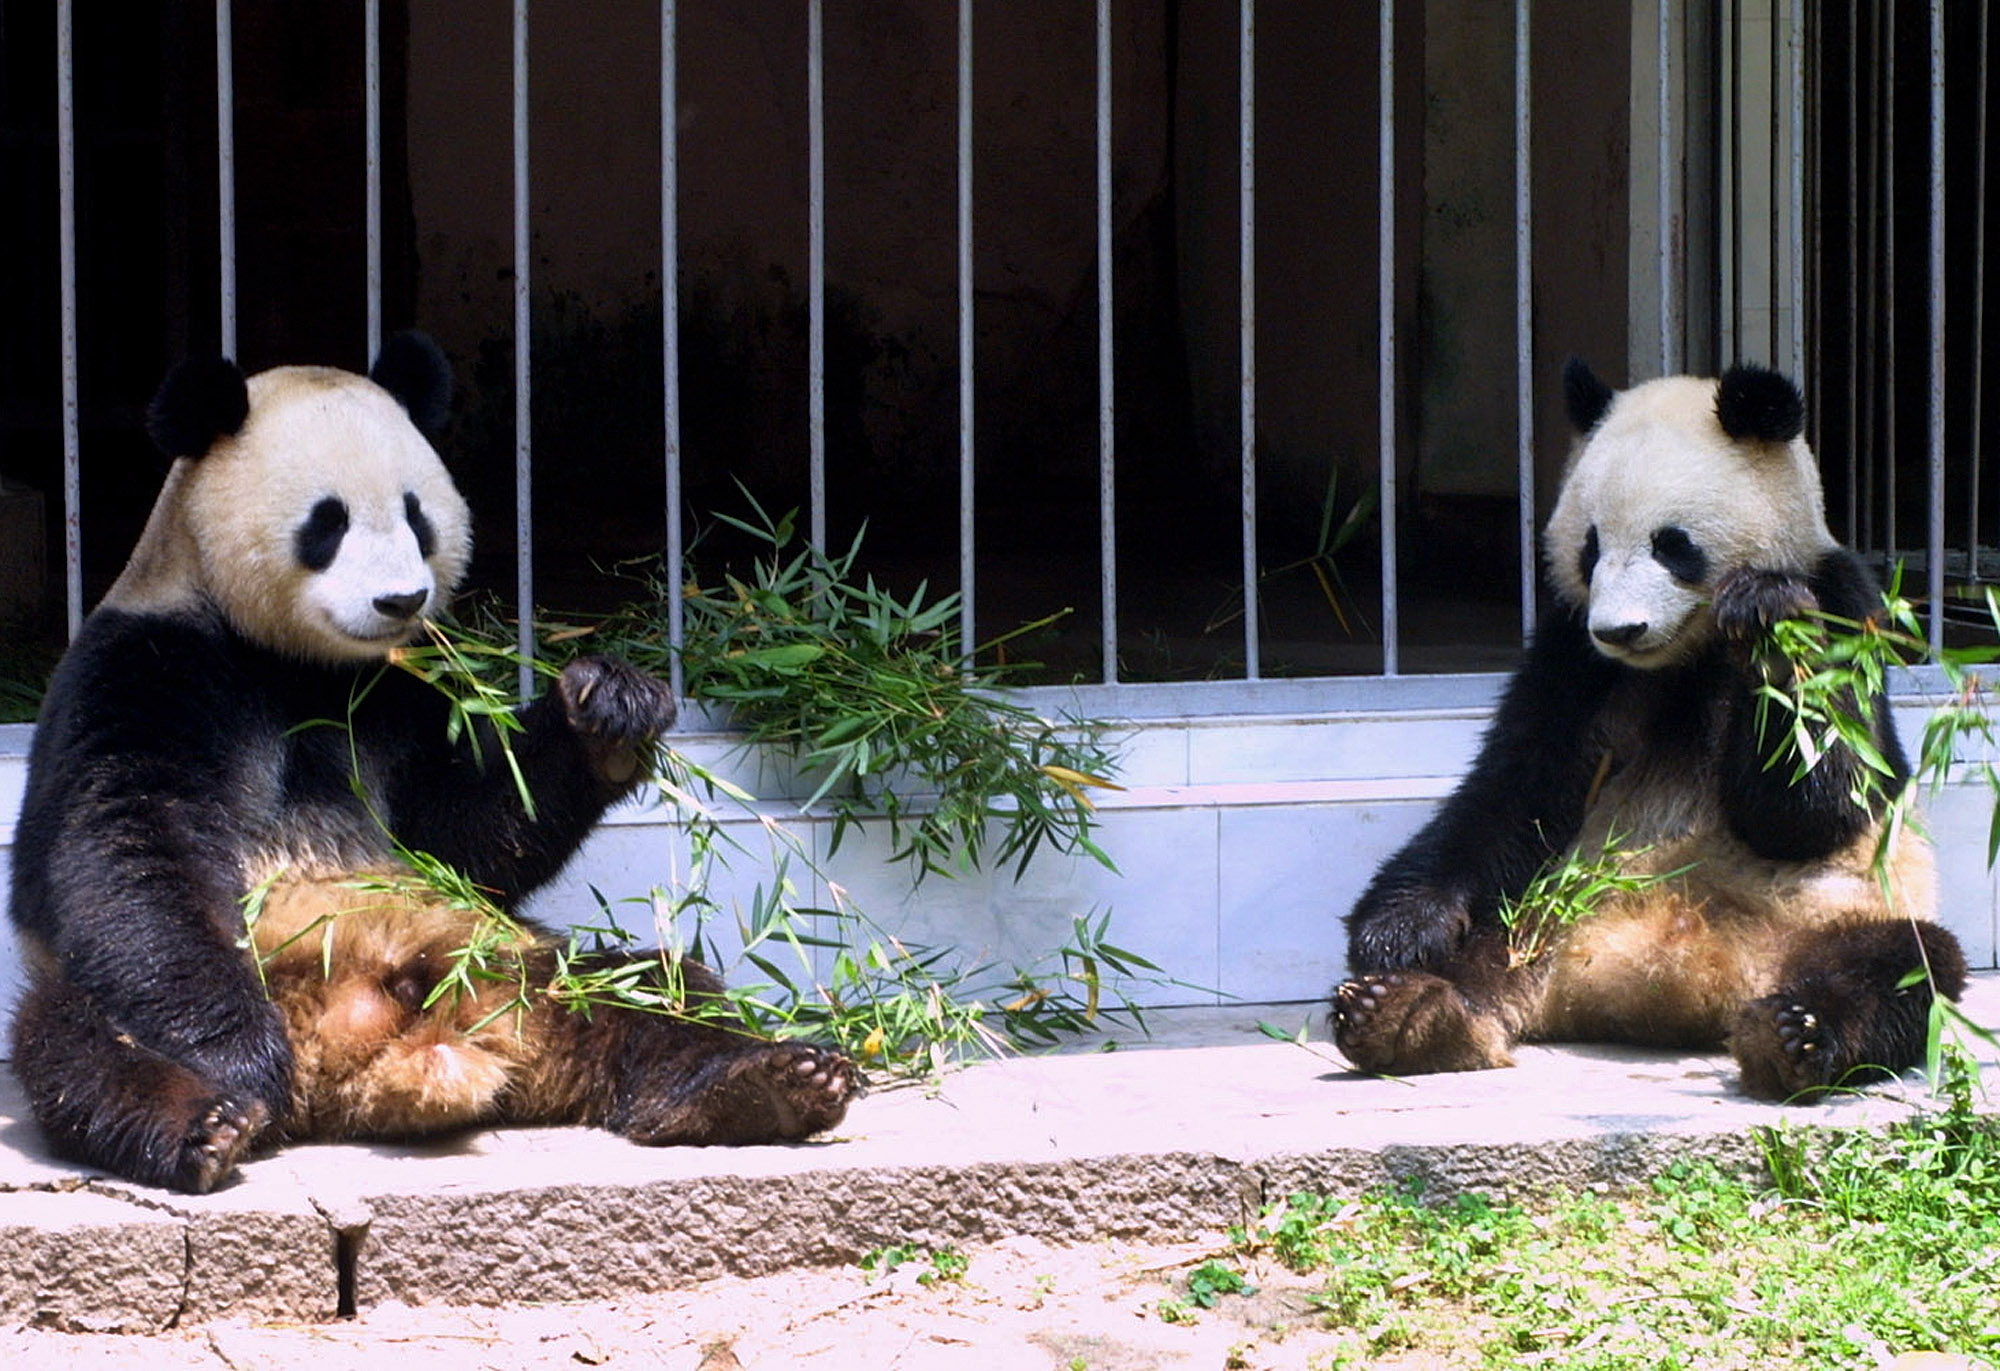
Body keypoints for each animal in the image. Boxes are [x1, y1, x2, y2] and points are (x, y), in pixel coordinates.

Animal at [7, 333, 859, 1193]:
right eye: (328, 522)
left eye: (416, 515)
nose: (400, 600)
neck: (297, 661)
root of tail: (359, 1053)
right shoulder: (150, 666)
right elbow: (129, 844)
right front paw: (241, 1059)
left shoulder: (398, 692)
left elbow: (462, 831)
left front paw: (609, 708)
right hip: (112, 1000)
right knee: (81, 1050)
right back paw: (207, 1122)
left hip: (520, 963)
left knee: (655, 993)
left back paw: (763, 1084)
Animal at [1333, 358, 1966, 1100]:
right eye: (1591, 545)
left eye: (1672, 544)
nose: (1619, 630)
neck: (1686, 653)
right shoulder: (1572, 656)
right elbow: (1515, 789)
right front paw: (1398, 930)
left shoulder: (1840, 601)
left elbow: (1817, 805)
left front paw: (1770, 630)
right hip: (1544, 910)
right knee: (1487, 948)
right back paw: (1409, 1014)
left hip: (1838, 915)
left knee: (1901, 968)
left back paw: (1792, 1036)